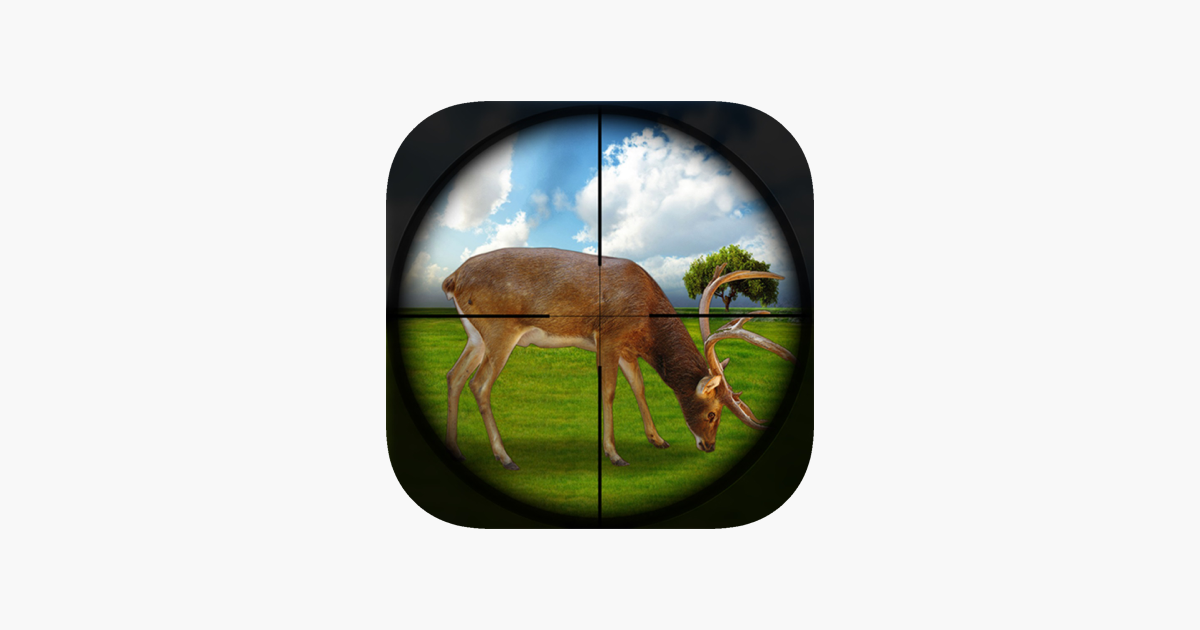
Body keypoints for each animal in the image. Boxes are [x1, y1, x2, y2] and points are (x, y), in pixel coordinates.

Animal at [439, 247, 795, 470]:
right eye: (712, 413)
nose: (709, 446)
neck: (647, 323)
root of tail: (452, 279)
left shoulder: (627, 348)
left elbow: (639, 387)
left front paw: (658, 439)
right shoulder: (609, 337)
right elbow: (610, 392)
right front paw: (614, 455)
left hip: (475, 335)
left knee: (454, 375)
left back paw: (456, 449)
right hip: (500, 330)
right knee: (479, 384)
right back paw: (505, 458)